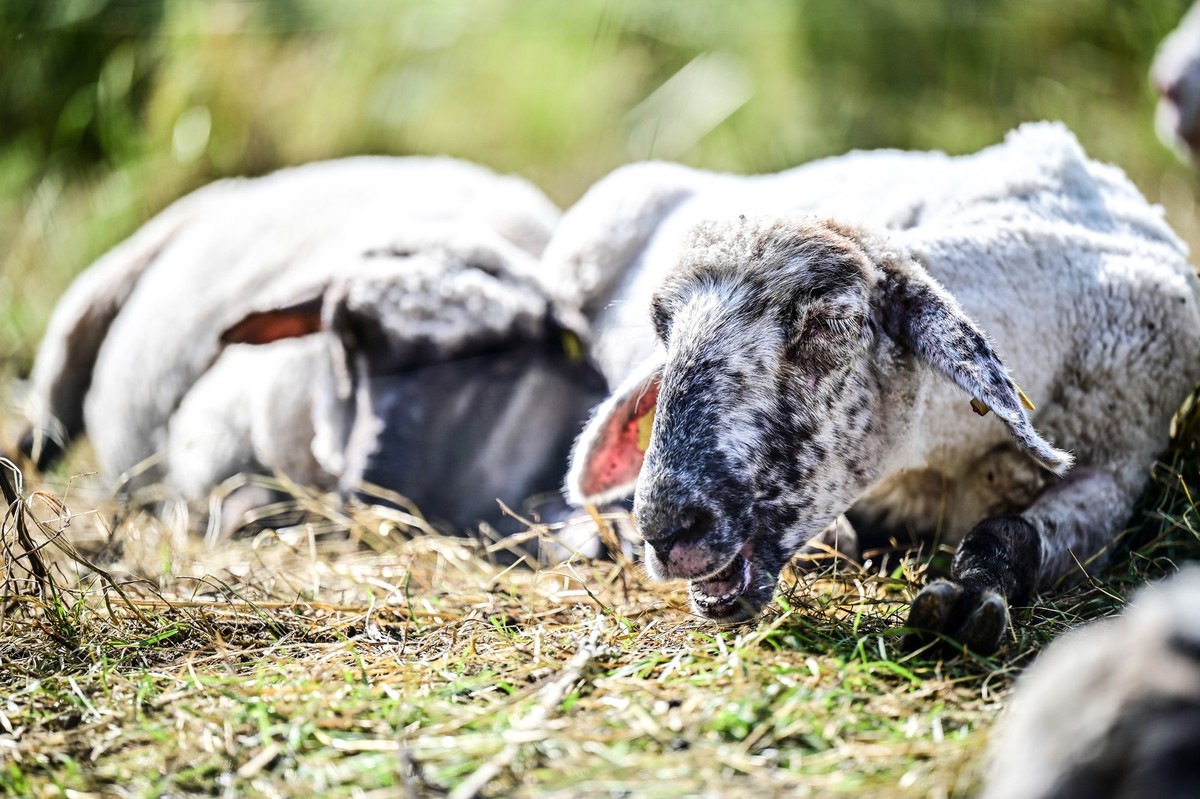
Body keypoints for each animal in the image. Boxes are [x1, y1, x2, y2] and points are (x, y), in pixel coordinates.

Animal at [20, 156, 608, 534]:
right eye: (343, 335)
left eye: (501, 371)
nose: (377, 484)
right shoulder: (208, 445)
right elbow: (239, 515)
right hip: (82, 319)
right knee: (38, 438)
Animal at [551, 121, 1200, 653]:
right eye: (662, 326)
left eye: (829, 323)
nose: (665, 529)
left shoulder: (1118, 468)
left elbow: (1010, 531)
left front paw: (966, 605)